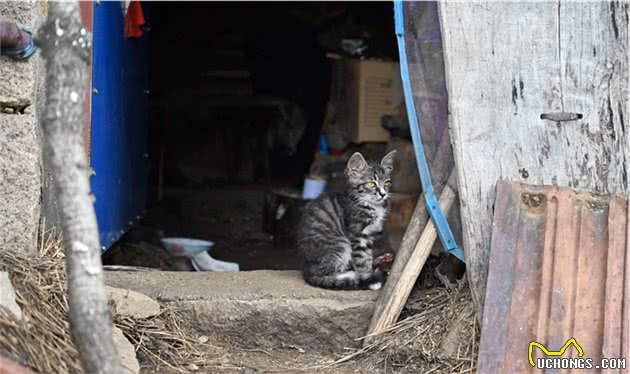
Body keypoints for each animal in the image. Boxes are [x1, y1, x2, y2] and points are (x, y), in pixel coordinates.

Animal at [298, 150, 398, 290]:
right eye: (371, 184)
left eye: (387, 183)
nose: (383, 194)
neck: (368, 204)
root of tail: (306, 269)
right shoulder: (357, 235)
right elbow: (361, 260)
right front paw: (367, 277)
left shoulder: (368, 236)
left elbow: (367, 256)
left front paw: (369, 271)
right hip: (341, 244)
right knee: (326, 272)